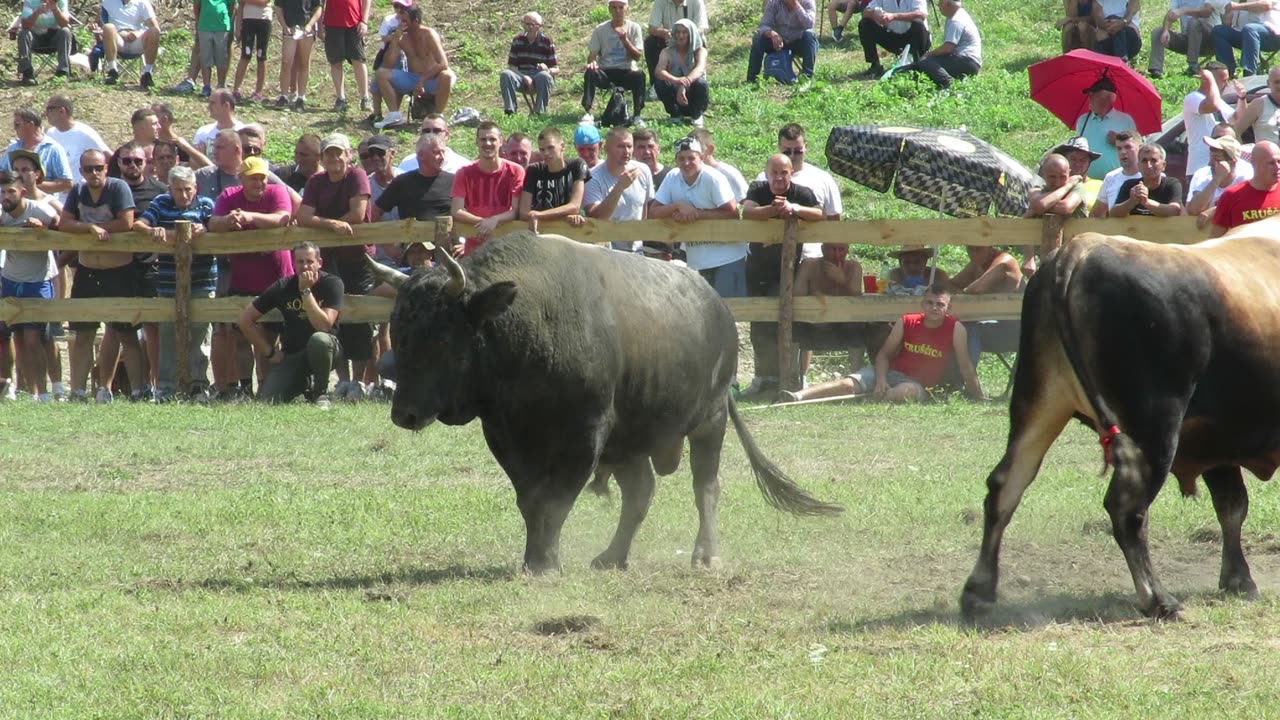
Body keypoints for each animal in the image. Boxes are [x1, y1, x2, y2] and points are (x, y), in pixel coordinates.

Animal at [368, 233, 839, 573]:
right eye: (399, 330)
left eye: (444, 335)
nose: (405, 414)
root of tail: (718, 308)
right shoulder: (506, 436)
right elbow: (531, 501)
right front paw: (535, 559)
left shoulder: (586, 435)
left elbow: (555, 500)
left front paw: (544, 564)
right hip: (632, 441)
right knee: (640, 493)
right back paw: (613, 556)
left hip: (710, 421)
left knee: (705, 486)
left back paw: (706, 554)